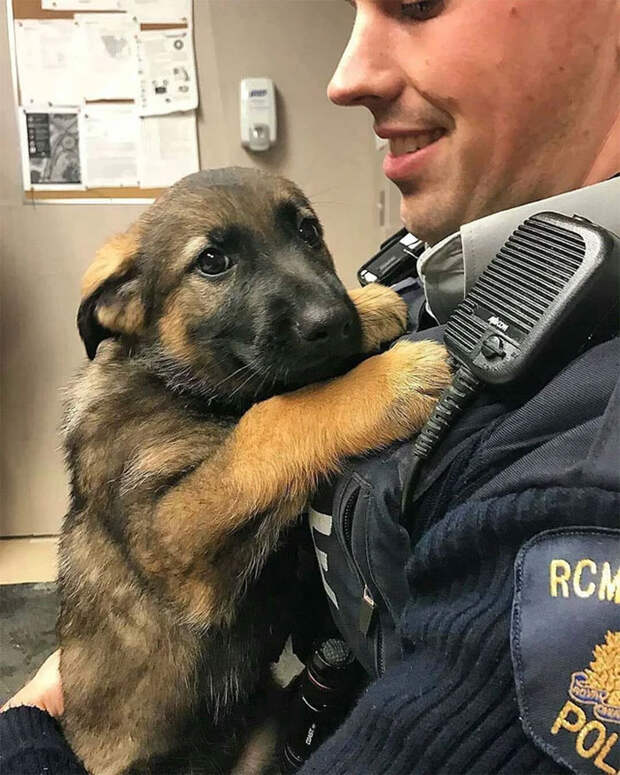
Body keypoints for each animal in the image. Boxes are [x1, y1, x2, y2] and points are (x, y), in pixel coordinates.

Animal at [59, 170, 450, 775]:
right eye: (212, 261)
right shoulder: (171, 536)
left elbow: (284, 390)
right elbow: (273, 416)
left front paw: (371, 307)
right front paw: (392, 380)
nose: (334, 321)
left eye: (308, 231)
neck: (173, 381)